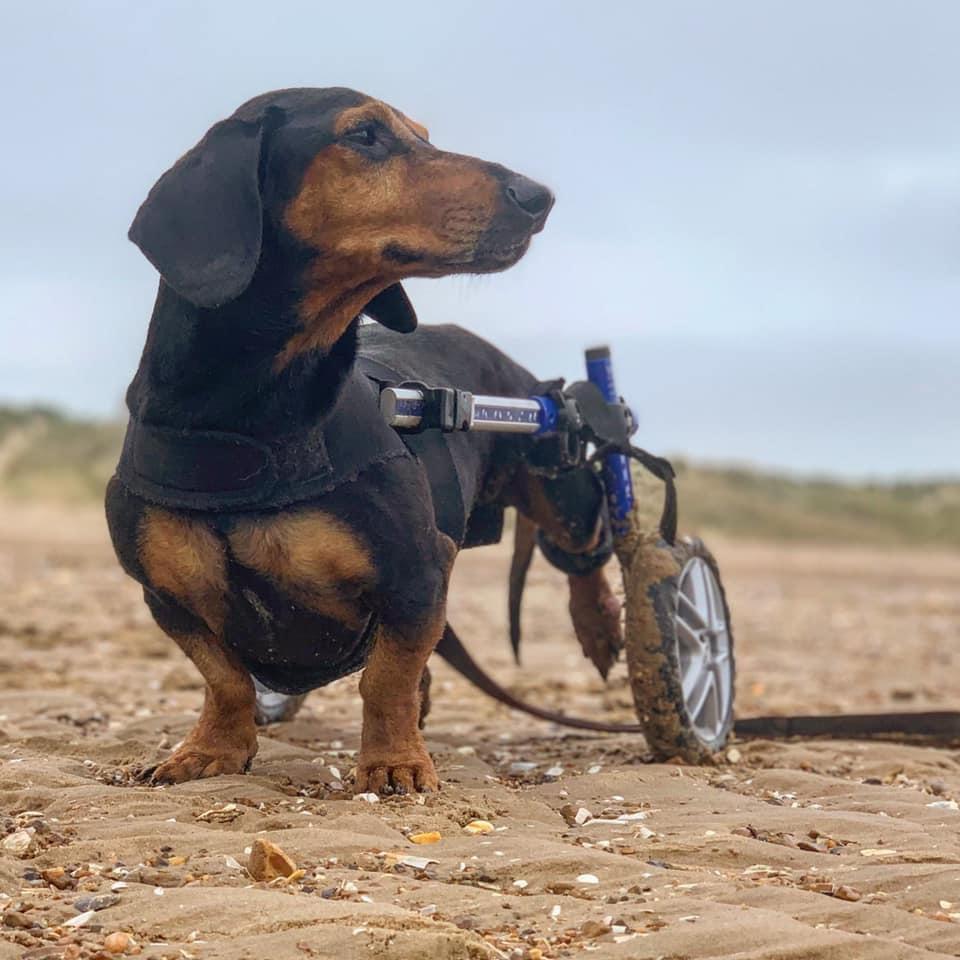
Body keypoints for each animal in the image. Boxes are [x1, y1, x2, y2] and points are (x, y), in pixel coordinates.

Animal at [106, 87, 621, 794]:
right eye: (366, 134)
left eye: (424, 134)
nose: (538, 197)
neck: (249, 418)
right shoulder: (166, 597)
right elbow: (226, 678)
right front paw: (211, 749)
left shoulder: (418, 571)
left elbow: (385, 680)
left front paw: (394, 762)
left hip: (555, 468)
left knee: (585, 549)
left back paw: (600, 628)